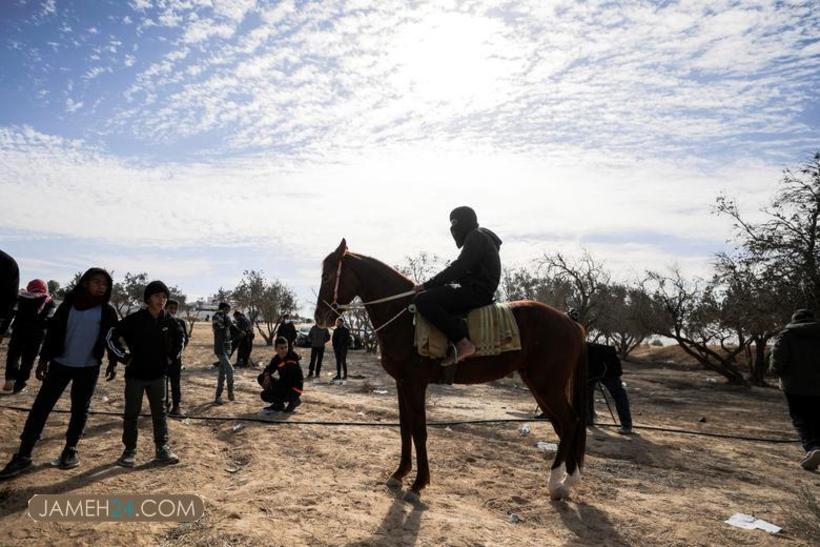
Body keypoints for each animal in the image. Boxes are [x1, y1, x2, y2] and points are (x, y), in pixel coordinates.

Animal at [316, 240, 588, 500]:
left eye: (327, 276)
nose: (320, 318)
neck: (404, 317)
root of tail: (572, 322)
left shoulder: (415, 384)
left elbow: (419, 431)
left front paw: (418, 484)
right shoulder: (402, 384)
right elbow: (405, 429)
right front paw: (399, 473)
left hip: (547, 386)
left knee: (569, 422)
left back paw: (556, 483)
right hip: (540, 388)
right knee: (565, 425)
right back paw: (568, 482)